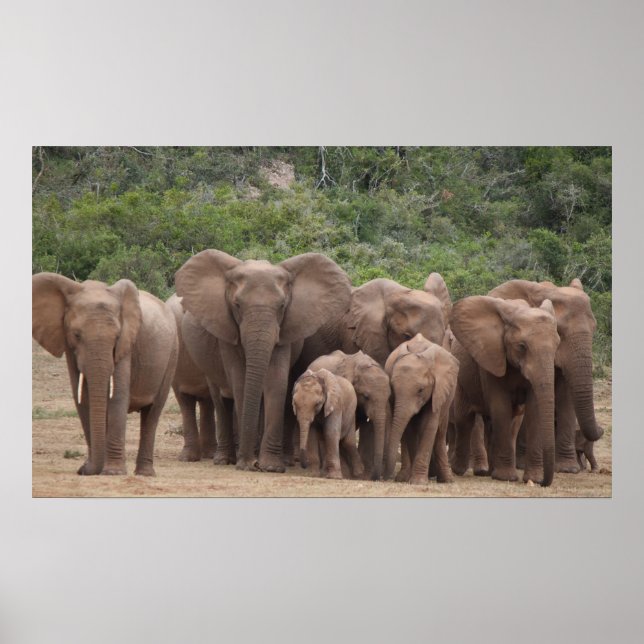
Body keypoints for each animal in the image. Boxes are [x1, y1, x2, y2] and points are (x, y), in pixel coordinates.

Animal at [32, 273, 178, 475]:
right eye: (76, 335)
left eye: (116, 337)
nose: (82, 470)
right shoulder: (68, 345)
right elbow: (82, 399)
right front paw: (90, 469)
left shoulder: (126, 344)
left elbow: (117, 396)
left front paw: (112, 473)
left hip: (172, 355)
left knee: (152, 414)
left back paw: (145, 474)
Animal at [175, 250, 352, 472]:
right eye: (237, 305)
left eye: (282, 306)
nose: (253, 464)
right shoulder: (228, 331)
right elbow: (240, 380)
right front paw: (246, 463)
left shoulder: (285, 329)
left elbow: (276, 380)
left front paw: (271, 466)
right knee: (219, 399)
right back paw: (224, 459)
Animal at [307, 350, 391, 480]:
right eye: (366, 396)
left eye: (389, 396)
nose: (376, 477)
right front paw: (349, 474)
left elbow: (367, 429)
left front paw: (362, 476)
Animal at [383, 333, 459, 484]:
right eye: (392, 388)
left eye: (421, 390)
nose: (383, 477)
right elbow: (410, 428)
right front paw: (415, 480)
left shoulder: (437, 390)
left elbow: (429, 425)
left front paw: (418, 481)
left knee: (440, 433)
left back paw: (447, 480)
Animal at [449, 296, 560, 486]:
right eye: (522, 346)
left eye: (557, 345)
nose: (544, 483)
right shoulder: (491, 357)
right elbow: (501, 407)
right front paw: (506, 478)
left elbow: (534, 410)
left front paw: (533, 479)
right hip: (462, 378)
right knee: (464, 419)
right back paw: (459, 470)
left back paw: (490, 472)